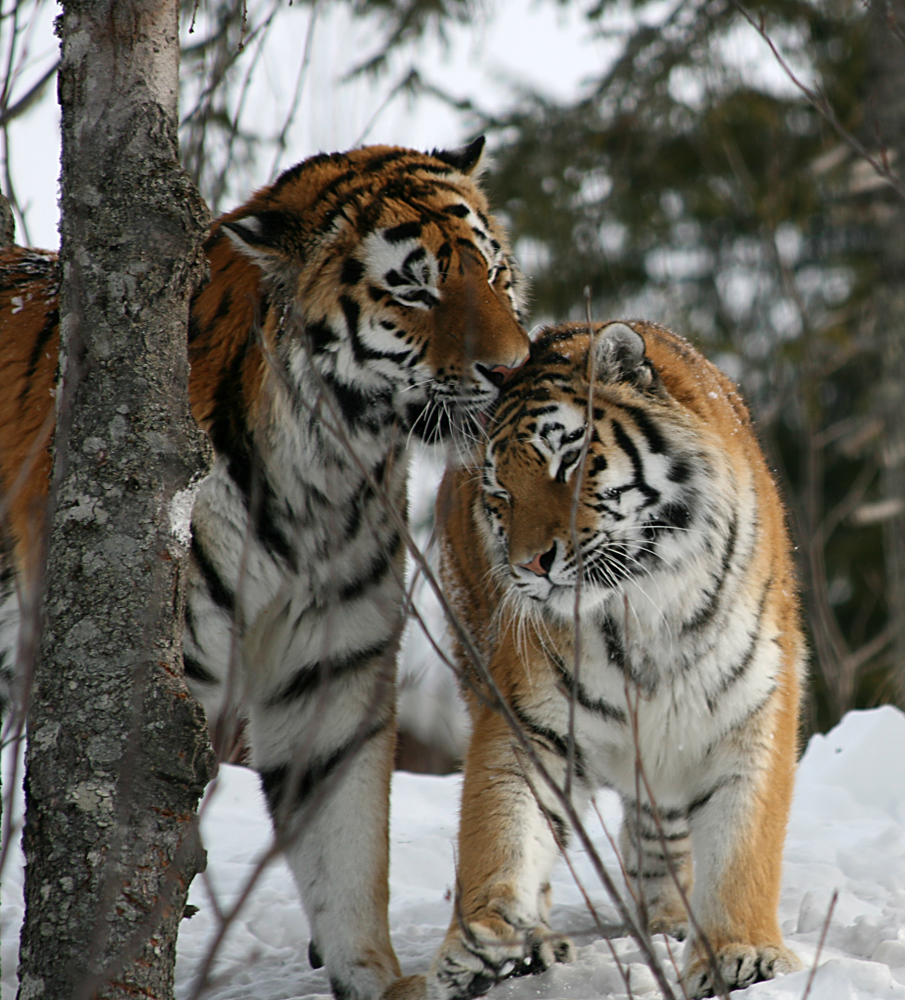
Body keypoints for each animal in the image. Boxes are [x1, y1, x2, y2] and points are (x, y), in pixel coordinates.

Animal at [0, 138, 530, 1000]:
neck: (325, 471)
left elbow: (347, 851)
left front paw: (375, 978)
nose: (513, 369)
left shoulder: (330, 666)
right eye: (414, 289)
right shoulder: (138, 678)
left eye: (494, 272)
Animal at [416, 319, 805, 1000]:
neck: (642, 607)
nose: (529, 565)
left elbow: (743, 846)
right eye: (499, 491)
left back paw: (668, 922)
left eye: (567, 459)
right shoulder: (529, 722)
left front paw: (742, 955)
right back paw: (539, 946)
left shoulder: (752, 709)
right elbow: (502, 828)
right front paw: (483, 945)